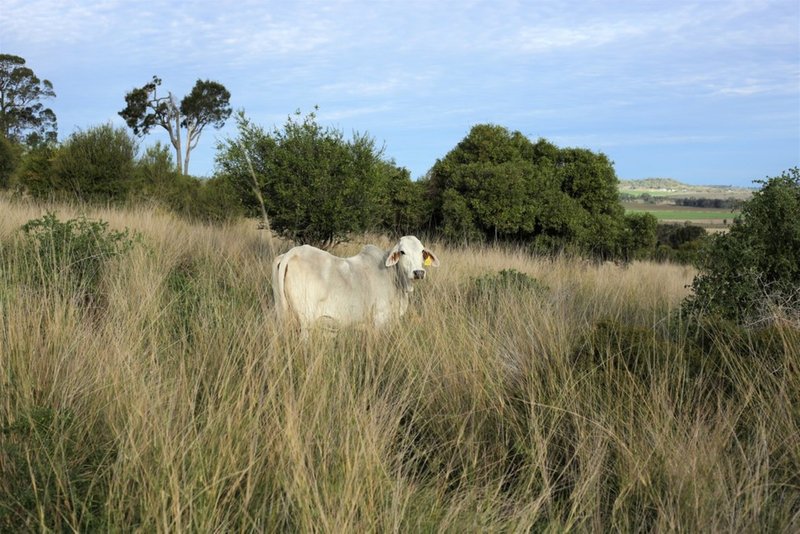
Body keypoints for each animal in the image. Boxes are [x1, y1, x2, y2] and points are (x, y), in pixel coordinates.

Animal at [274, 236, 438, 336]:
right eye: (402, 252)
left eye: (422, 251)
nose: (418, 272)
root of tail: (293, 252)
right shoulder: (380, 318)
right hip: (306, 321)